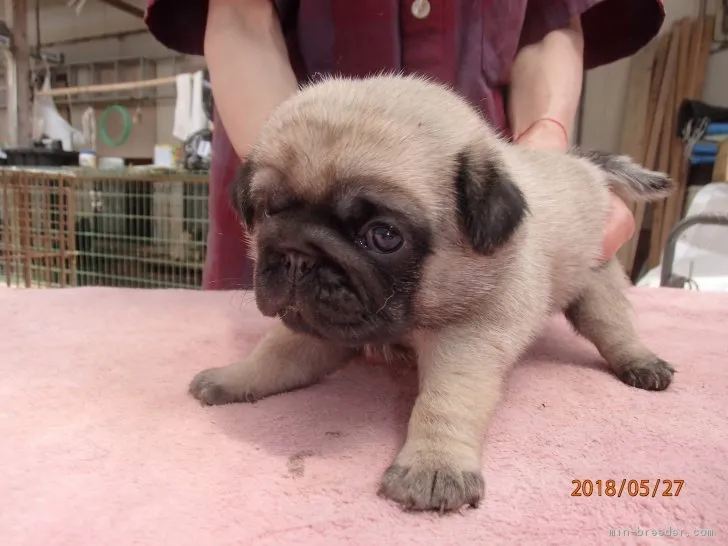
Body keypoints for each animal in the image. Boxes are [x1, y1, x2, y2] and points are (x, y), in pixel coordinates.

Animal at [189, 75, 676, 510]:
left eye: (384, 236)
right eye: (269, 212)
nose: (298, 257)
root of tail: (586, 169)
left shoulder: (471, 338)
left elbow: (445, 402)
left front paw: (434, 464)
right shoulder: (312, 327)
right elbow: (274, 358)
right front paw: (235, 378)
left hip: (596, 283)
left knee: (613, 327)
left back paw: (640, 362)